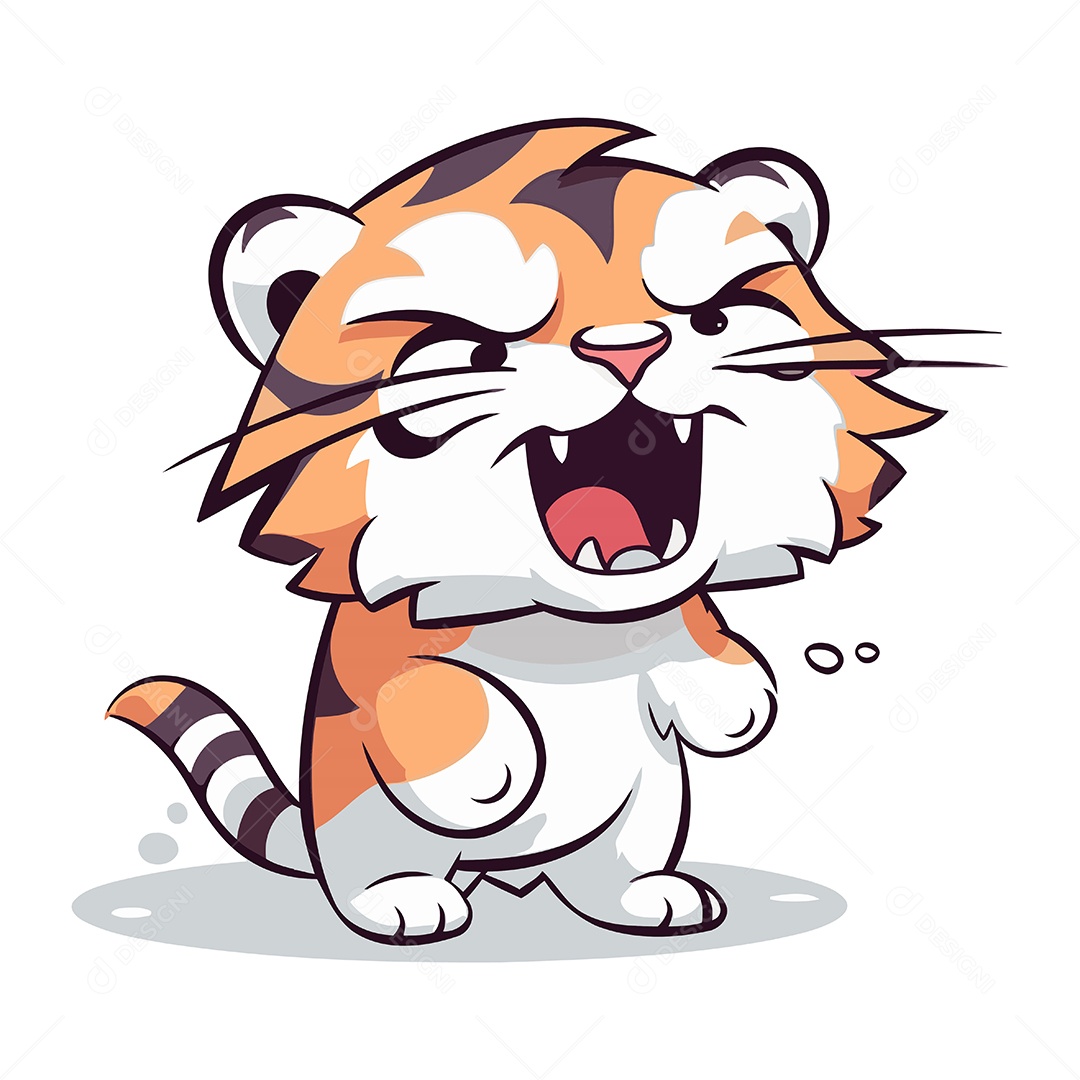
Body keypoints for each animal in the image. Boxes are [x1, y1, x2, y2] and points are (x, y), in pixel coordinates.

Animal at [106, 119, 946, 945]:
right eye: (482, 350)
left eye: (710, 318)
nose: (627, 347)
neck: (573, 629)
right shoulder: (372, 650)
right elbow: (428, 694)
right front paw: (486, 771)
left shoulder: (671, 614)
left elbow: (704, 634)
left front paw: (736, 700)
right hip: (360, 823)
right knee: (375, 870)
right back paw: (406, 901)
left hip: (643, 809)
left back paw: (642, 897)